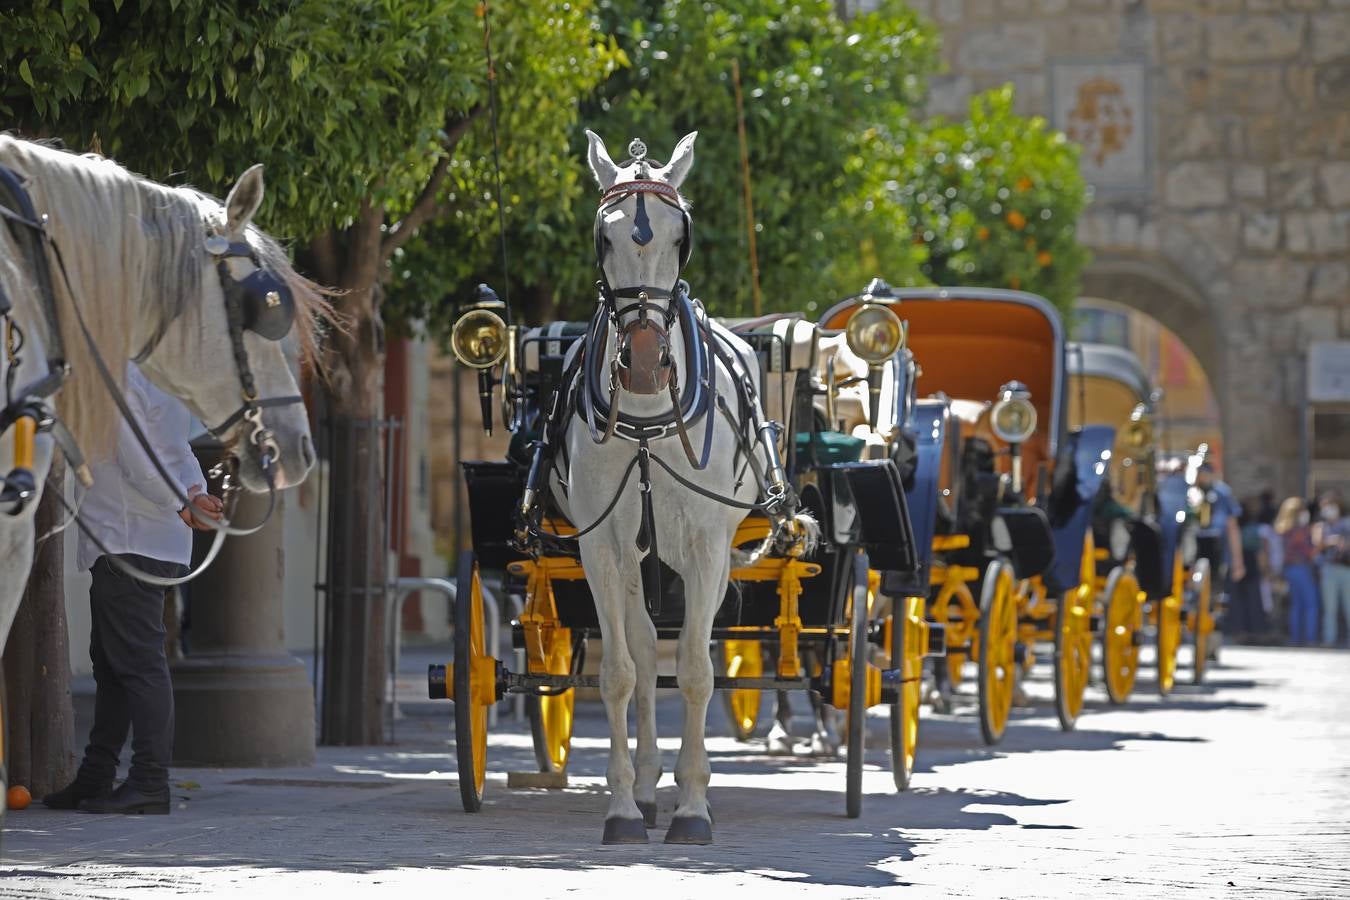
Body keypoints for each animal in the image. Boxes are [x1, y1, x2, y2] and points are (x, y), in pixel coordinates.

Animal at [558, 132, 810, 847]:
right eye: (604, 237)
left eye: (681, 237)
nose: (644, 362)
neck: (647, 418)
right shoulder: (602, 548)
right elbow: (620, 673)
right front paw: (622, 807)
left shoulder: (704, 546)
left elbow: (698, 672)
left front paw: (694, 806)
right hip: (638, 557)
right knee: (645, 654)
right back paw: (646, 790)